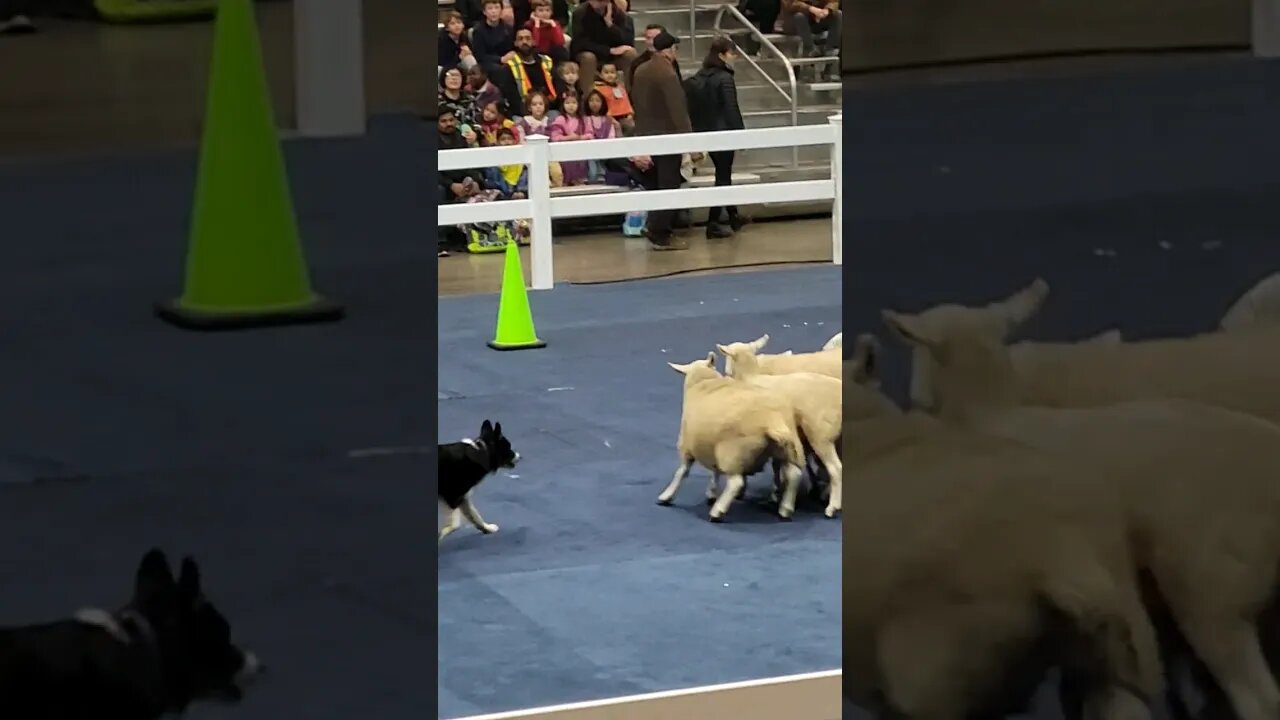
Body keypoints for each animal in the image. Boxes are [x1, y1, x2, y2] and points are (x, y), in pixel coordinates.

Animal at [660, 351, 798, 515]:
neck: (704, 383)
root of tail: (772, 420)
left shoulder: (687, 445)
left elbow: (682, 472)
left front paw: (667, 495)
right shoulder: (713, 444)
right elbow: (715, 470)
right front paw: (711, 492)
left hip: (733, 453)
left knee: (736, 482)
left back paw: (718, 511)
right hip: (785, 449)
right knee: (794, 474)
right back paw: (786, 509)